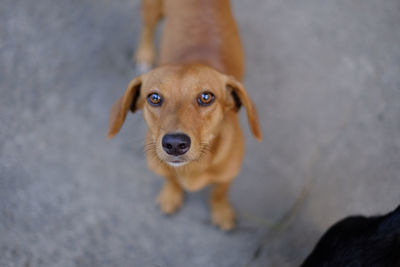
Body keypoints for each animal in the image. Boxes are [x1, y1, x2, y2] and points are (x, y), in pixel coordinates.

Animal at [108, 0, 260, 230]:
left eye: (206, 97)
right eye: (154, 97)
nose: (174, 144)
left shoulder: (228, 175)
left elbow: (219, 192)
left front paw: (221, 211)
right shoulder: (161, 167)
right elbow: (171, 180)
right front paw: (171, 195)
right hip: (151, 10)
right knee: (147, 28)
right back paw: (145, 54)